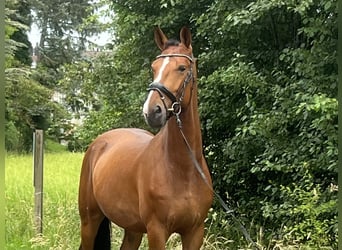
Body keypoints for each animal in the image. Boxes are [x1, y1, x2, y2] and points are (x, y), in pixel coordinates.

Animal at [78, 26, 212, 249]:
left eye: (182, 68)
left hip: (132, 228)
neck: (182, 169)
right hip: (90, 221)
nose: (152, 111)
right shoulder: (156, 231)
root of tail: (99, 143)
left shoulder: (195, 232)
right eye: (154, 67)